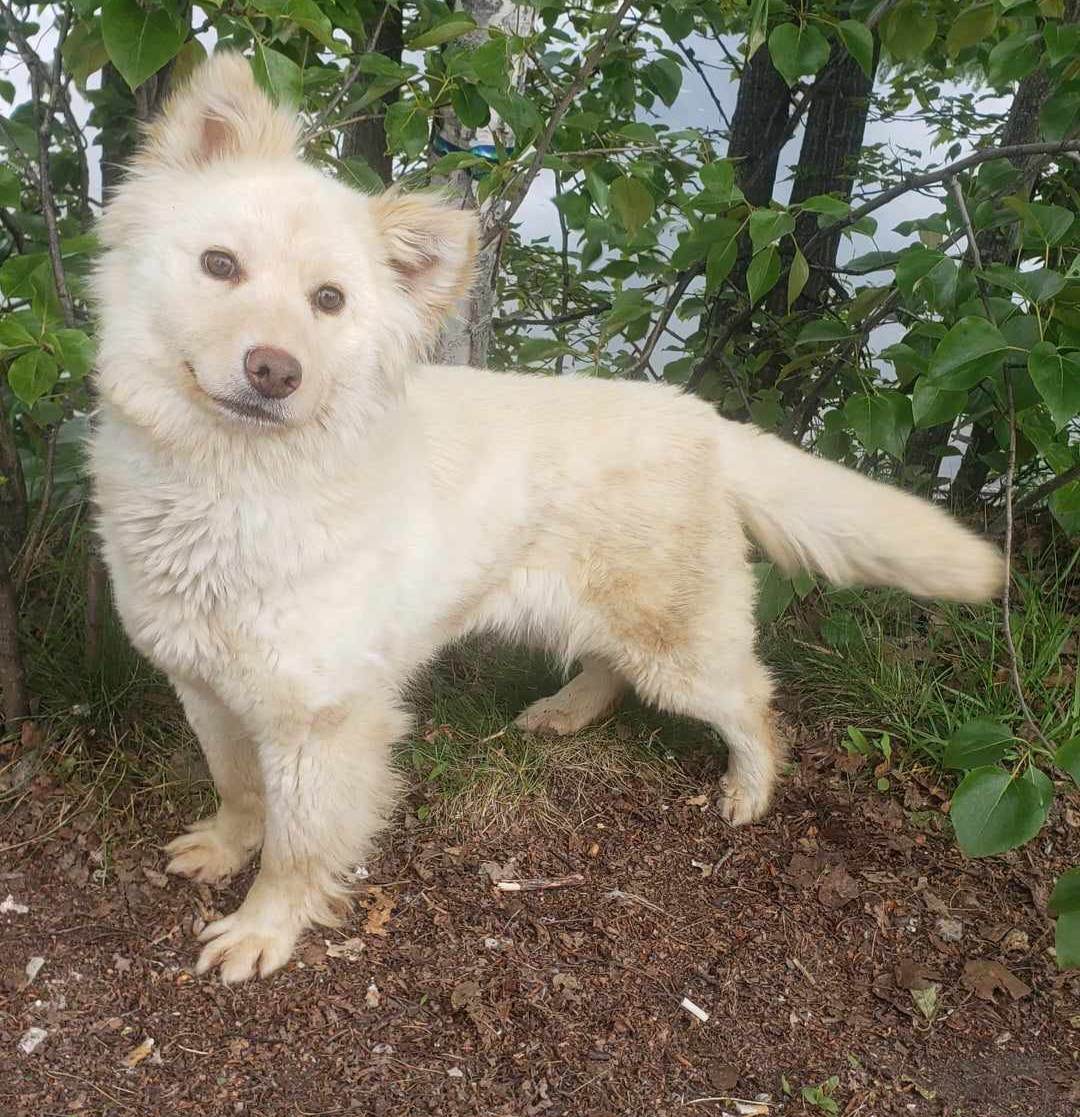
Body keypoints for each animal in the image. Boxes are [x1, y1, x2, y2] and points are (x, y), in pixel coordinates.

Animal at [91, 54, 1005, 978]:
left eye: (329, 300)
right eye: (219, 264)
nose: (273, 370)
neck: (230, 487)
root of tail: (702, 419)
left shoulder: (323, 723)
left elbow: (297, 846)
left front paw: (263, 929)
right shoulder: (205, 685)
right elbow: (239, 789)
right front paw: (223, 847)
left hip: (678, 646)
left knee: (752, 699)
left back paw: (748, 789)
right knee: (609, 668)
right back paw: (566, 712)